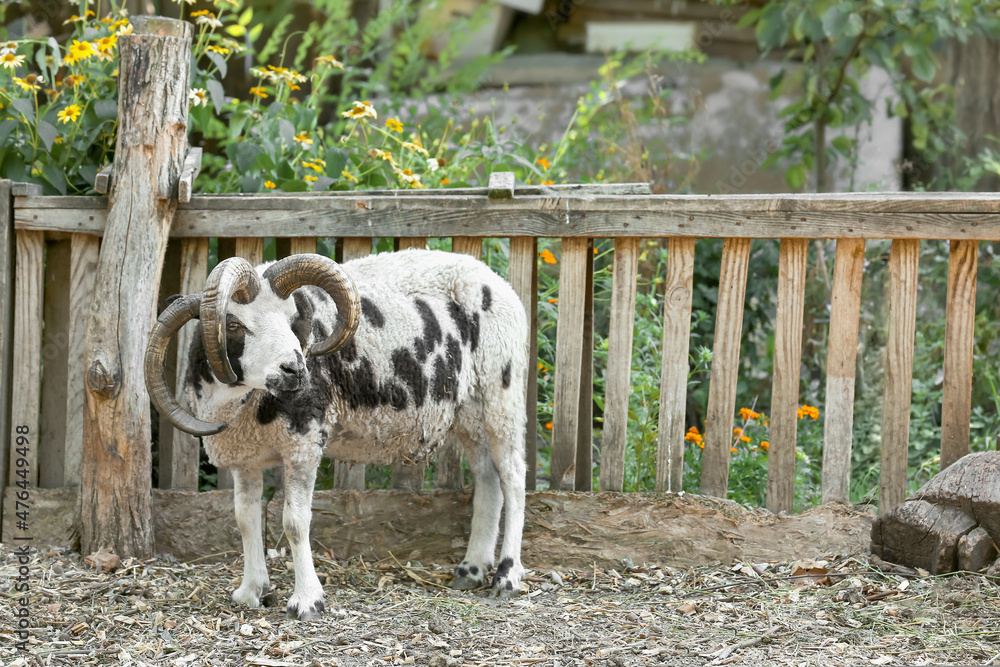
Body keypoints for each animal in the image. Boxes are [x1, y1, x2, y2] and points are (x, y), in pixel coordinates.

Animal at [146, 250, 532, 620]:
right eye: (234, 324)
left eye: (292, 319)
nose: (295, 369)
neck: (244, 405)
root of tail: (498, 282)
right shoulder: (245, 455)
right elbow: (245, 518)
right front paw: (251, 591)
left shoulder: (303, 444)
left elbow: (295, 522)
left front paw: (307, 602)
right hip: (469, 412)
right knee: (487, 478)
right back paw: (471, 570)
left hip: (501, 394)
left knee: (513, 478)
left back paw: (507, 576)